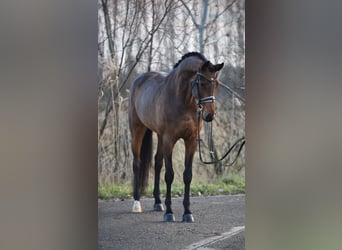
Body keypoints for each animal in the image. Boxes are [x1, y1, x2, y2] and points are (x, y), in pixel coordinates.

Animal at [128, 51, 224, 222]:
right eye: (201, 83)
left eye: (217, 84)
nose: (209, 115)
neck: (182, 100)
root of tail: (138, 80)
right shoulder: (169, 140)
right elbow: (169, 175)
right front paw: (169, 213)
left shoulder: (191, 141)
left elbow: (187, 175)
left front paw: (187, 213)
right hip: (137, 131)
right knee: (137, 163)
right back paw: (137, 203)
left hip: (159, 136)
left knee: (157, 163)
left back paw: (158, 203)